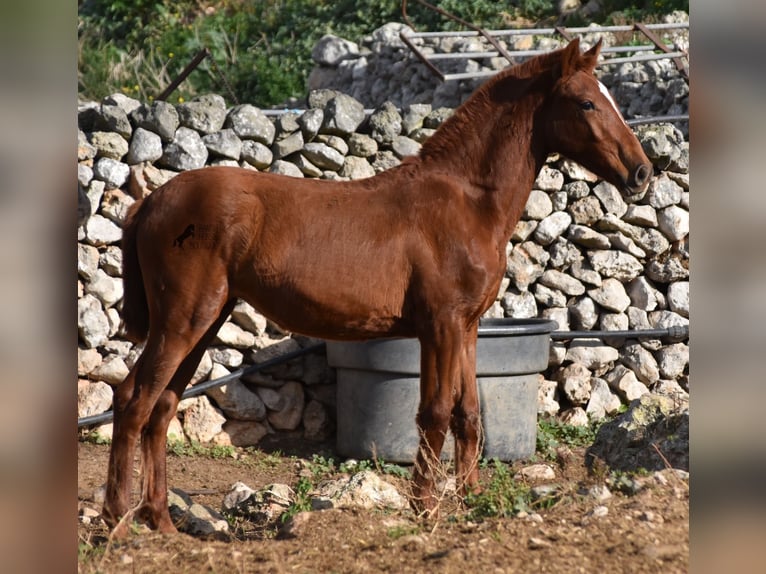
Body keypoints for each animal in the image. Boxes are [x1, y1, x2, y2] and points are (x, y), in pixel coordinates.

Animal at [103, 39, 656, 536]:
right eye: (586, 102)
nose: (643, 172)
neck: (464, 202)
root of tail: (150, 201)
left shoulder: (467, 327)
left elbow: (469, 414)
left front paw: (471, 503)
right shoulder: (440, 325)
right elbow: (435, 413)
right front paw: (426, 511)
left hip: (205, 320)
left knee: (163, 406)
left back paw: (162, 523)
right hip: (183, 320)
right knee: (133, 399)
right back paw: (118, 521)